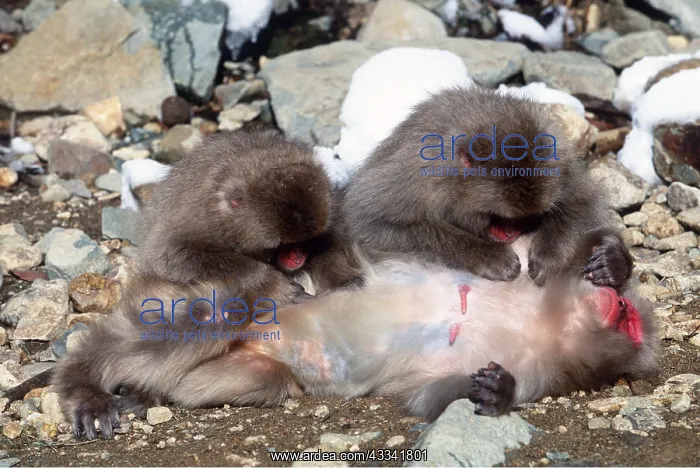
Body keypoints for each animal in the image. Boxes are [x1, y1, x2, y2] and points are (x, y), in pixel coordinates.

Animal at [51, 227, 658, 439]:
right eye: (628, 314)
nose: (619, 303)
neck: (540, 323)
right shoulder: (522, 276)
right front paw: (610, 260)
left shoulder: (545, 372)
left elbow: (431, 396)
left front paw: (497, 391)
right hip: (243, 292)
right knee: (209, 315)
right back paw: (87, 385)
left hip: (251, 366)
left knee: (245, 379)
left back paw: (145, 392)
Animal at [137, 127, 362, 303]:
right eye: (282, 245)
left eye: (305, 240)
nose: (297, 256)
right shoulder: (199, 219)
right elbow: (169, 255)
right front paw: (272, 284)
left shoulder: (330, 203)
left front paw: (341, 279)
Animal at [343, 85, 619, 287]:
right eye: (497, 216)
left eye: (525, 218)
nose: (510, 233)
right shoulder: (417, 176)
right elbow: (369, 221)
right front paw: (488, 255)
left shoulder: (561, 164)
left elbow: (583, 202)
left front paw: (548, 258)